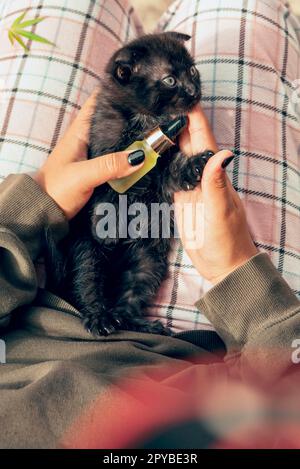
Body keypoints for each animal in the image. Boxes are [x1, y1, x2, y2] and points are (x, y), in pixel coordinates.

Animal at [48, 31, 213, 334]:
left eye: (192, 71)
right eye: (169, 80)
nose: (194, 91)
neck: (147, 120)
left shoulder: (159, 173)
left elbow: (171, 171)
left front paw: (195, 166)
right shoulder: (103, 153)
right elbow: (109, 189)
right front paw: (110, 225)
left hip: (147, 261)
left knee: (128, 302)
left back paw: (141, 325)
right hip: (87, 252)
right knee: (87, 284)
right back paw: (99, 317)